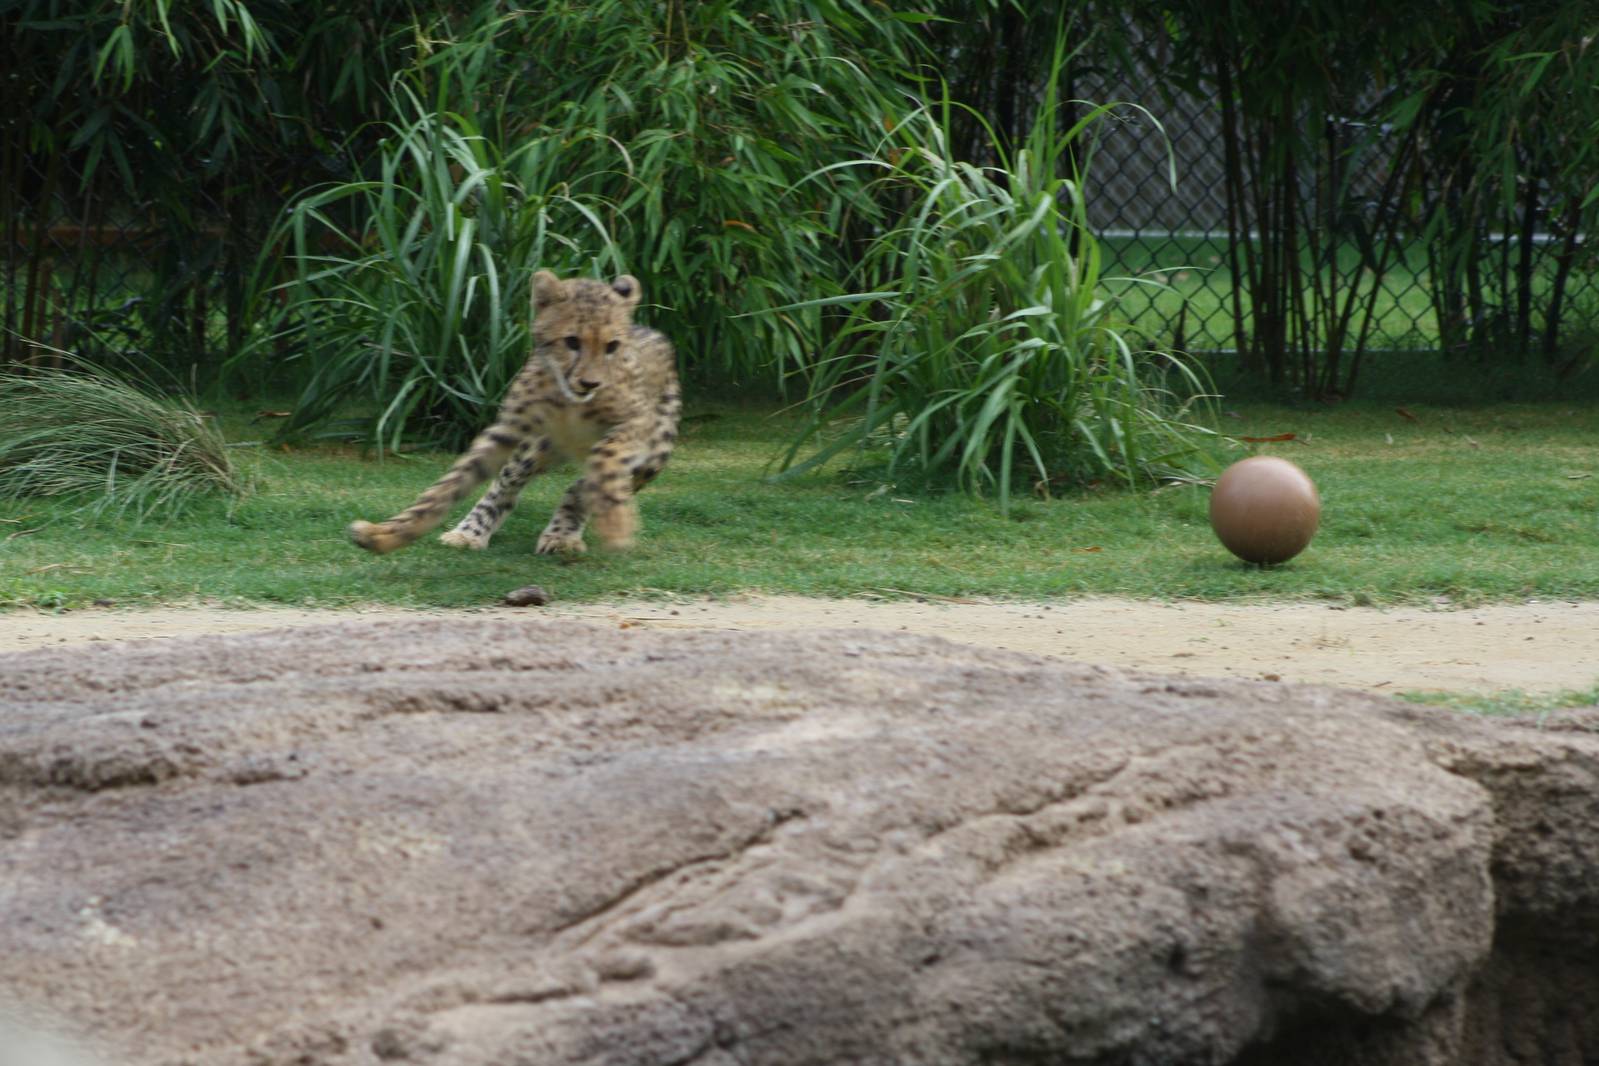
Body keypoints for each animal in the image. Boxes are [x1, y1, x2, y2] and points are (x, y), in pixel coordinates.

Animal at [348, 271, 679, 557]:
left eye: (612, 346)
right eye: (572, 341)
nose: (590, 383)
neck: (571, 401)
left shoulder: (637, 422)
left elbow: (606, 458)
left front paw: (615, 525)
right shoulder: (511, 428)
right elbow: (448, 487)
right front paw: (383, 535)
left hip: (652, 456)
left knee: (585, 483)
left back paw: (564, 533)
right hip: (536, 446)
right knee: (508, 483)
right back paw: (473, 531)